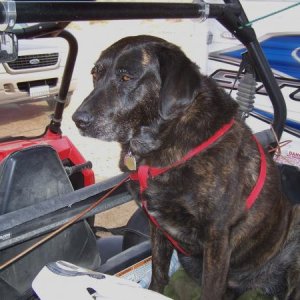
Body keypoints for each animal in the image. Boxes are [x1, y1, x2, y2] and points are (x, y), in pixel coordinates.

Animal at [72, 35, 300, 300]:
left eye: (126, 77)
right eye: (95, 74)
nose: (78, 120)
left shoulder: (217, 239)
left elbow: (210, 291)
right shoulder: (158, 228)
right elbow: (159, 274)